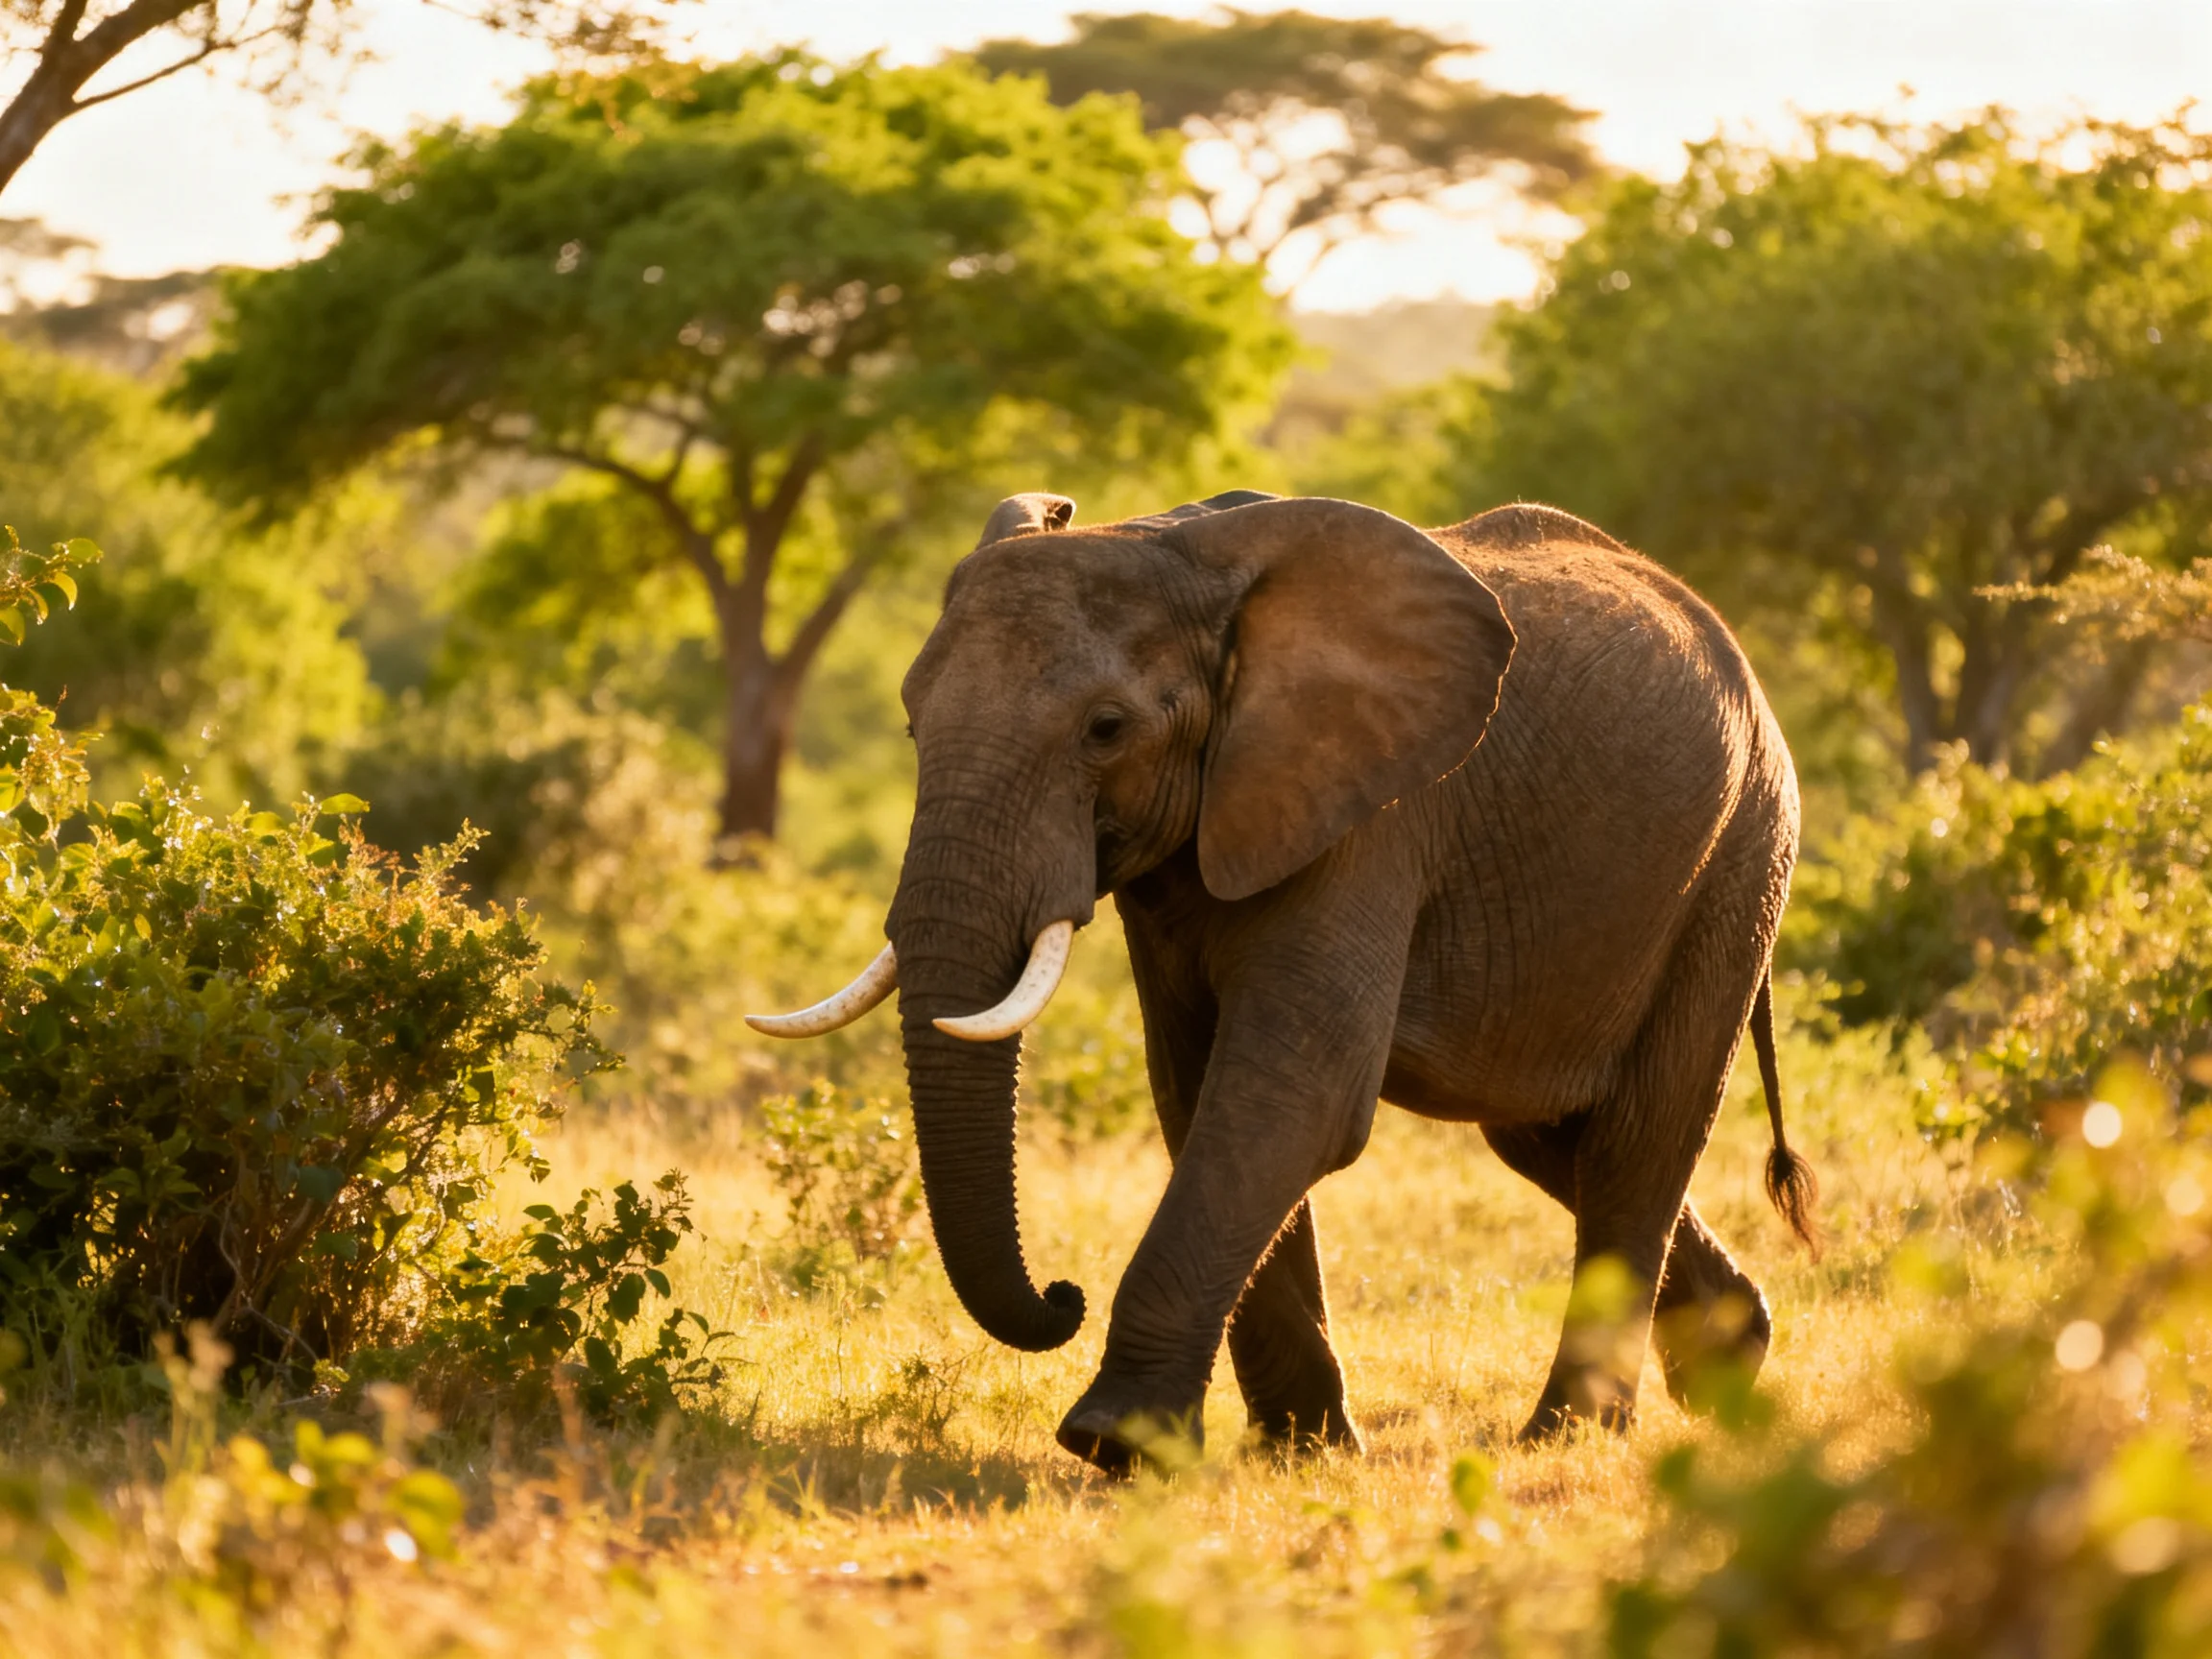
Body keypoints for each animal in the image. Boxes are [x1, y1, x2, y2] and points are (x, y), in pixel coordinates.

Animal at [750, 491, 1818, 1474]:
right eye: (910, 724)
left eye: (1106, 729)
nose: (1061, 1294)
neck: (1181, 554)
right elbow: (1199, 1092)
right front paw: (1303, 1449)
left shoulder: (1373, 818)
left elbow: (1292, 1094)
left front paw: (1113, 1443)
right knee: (1549, 1137)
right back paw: (1730, 1364)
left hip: (1739, 856)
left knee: (1643, 1132)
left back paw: (1568, 1435)